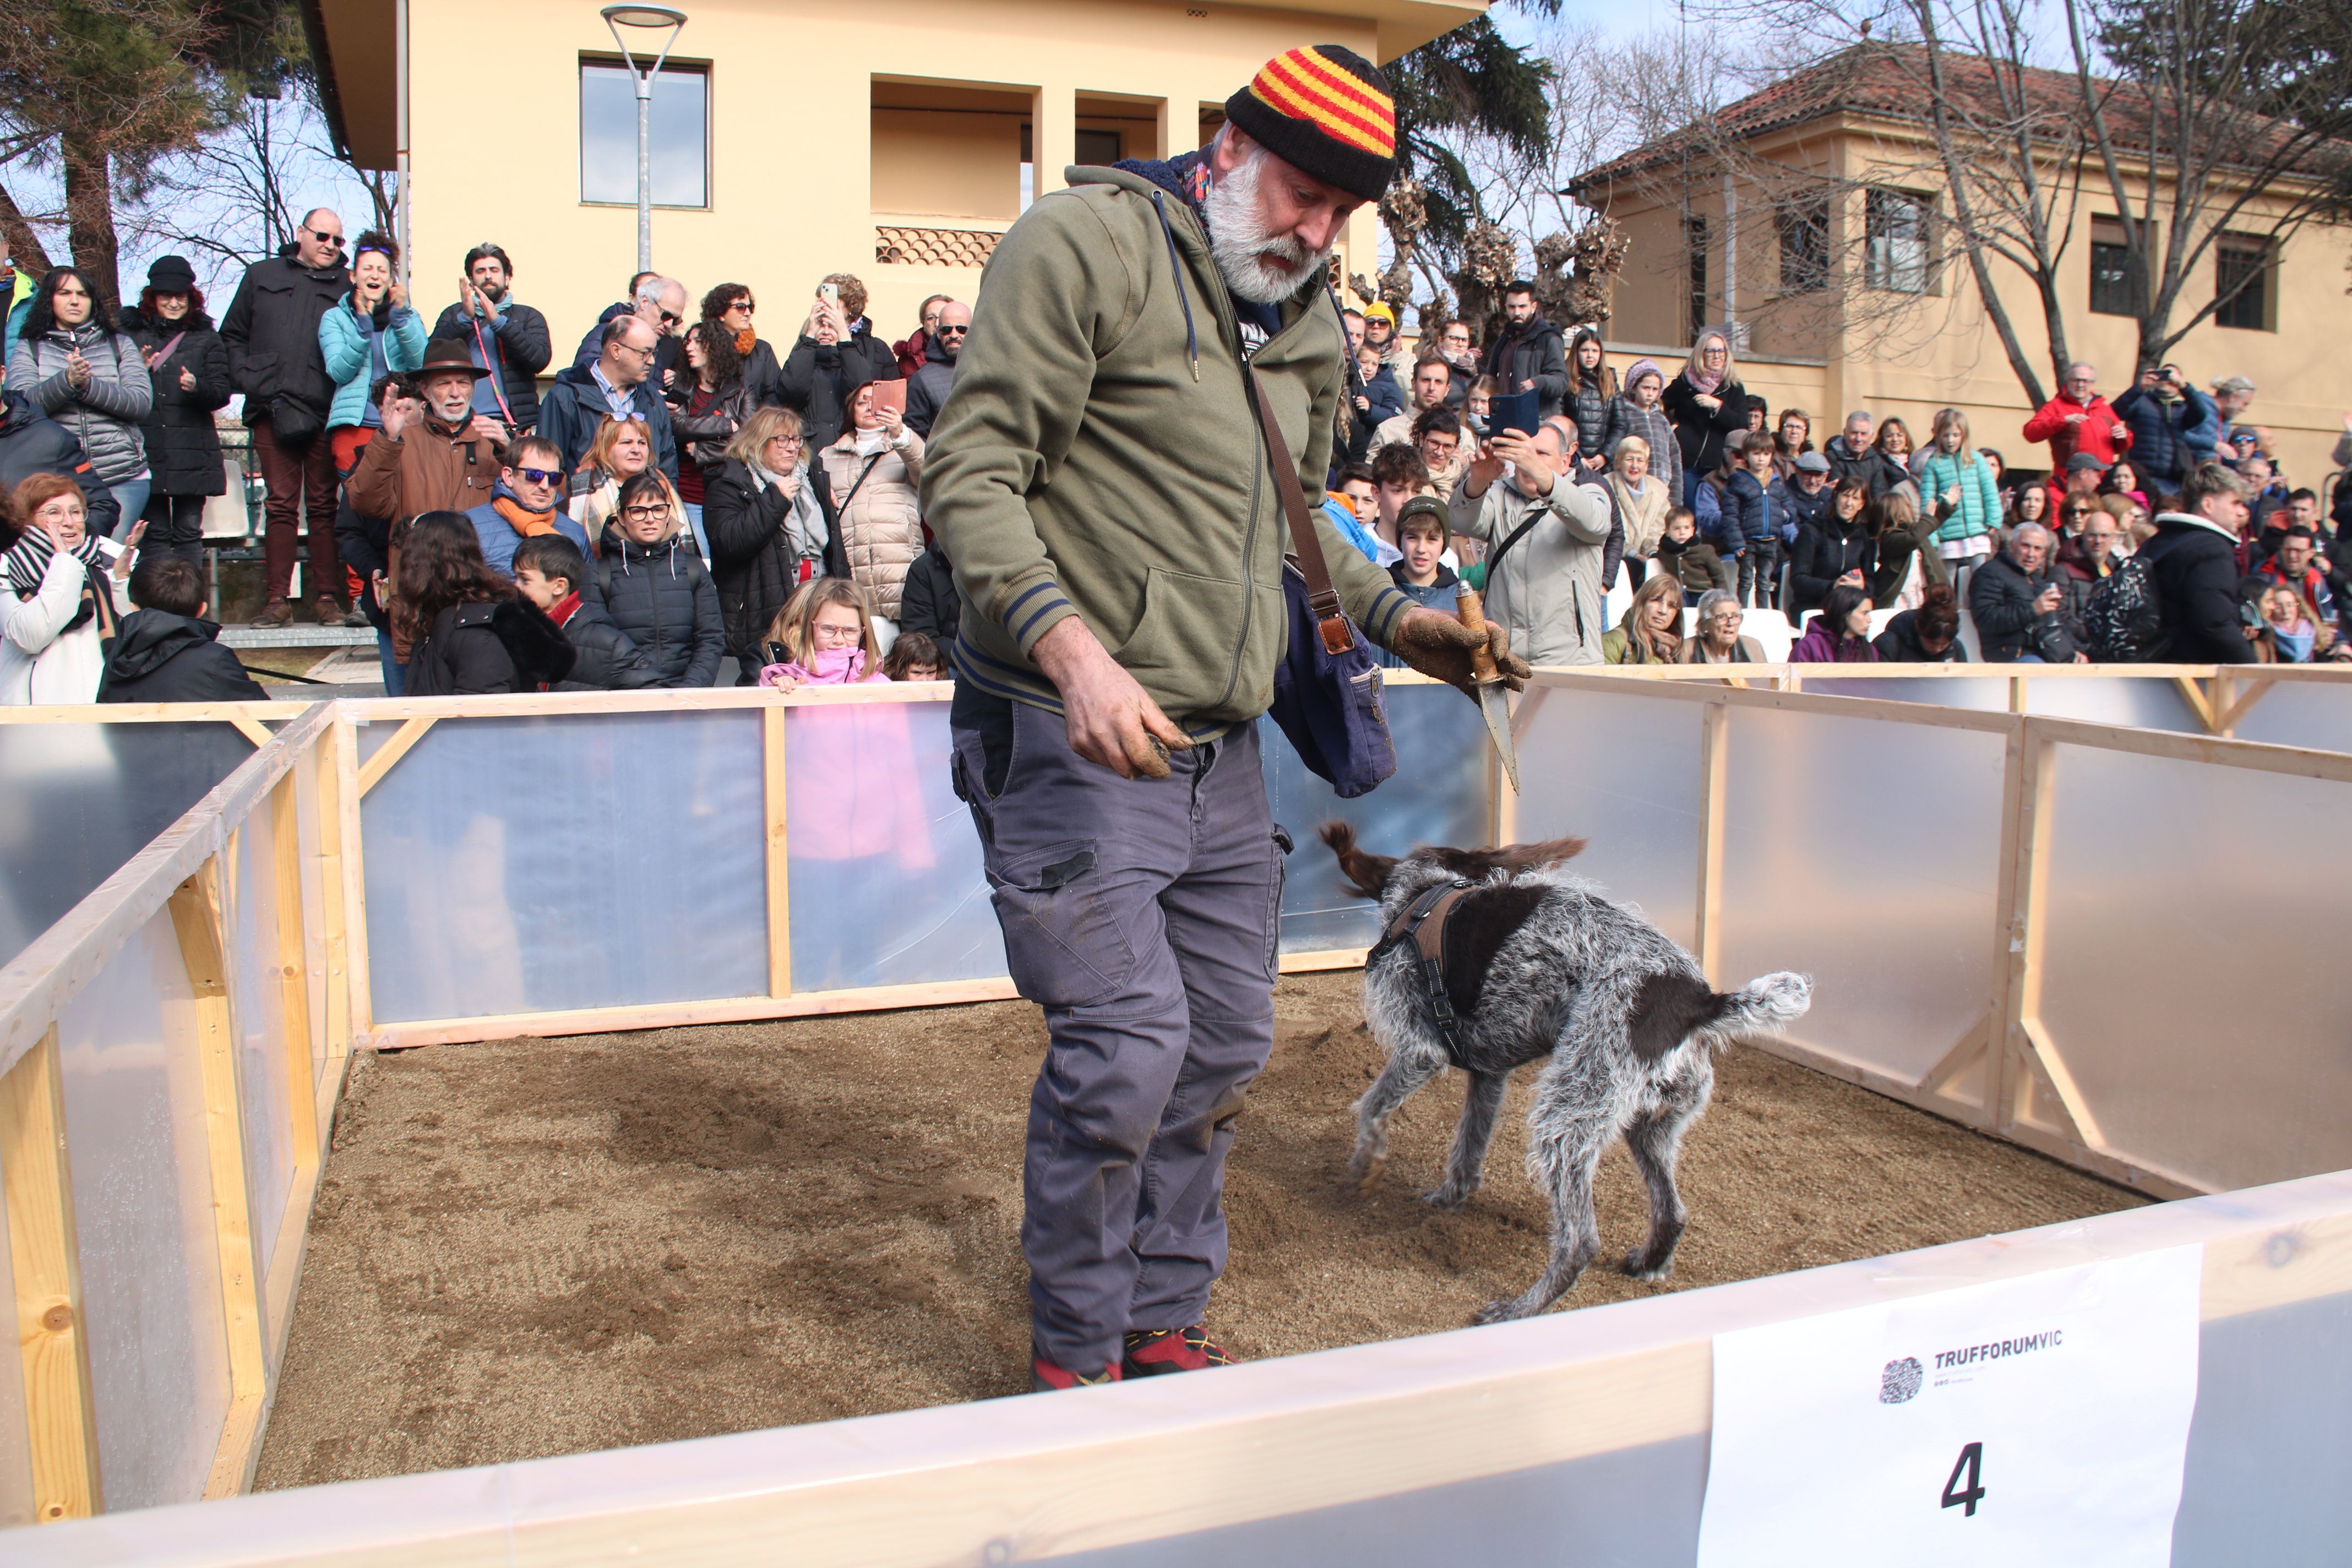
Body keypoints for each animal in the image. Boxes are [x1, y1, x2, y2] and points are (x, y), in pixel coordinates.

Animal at [1326, 823, 1815, 1326]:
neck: (1424, 895)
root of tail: (1702, 1003)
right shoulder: (1488, 1074)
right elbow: (1467, 1149)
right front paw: (1449, 1198)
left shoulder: (1421, 1051)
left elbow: (1371, 1108)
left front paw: (1365, 1167)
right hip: (1651, 1124)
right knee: (1673, 1212)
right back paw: (1649, 1262)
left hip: (1567, 1115)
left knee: (1580, 1242)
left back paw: (1519, 1309)